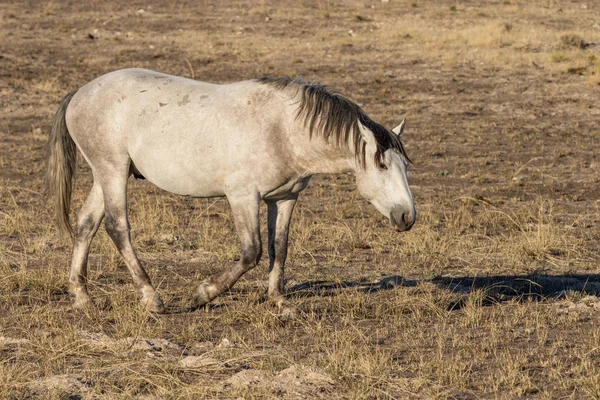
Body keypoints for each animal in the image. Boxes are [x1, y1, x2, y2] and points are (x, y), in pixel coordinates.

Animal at [45, 68, 418, 312]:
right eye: (382, 166)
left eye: (405, 165)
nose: (407, 217)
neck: (283, 129)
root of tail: (80, 93)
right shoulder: (243, 197)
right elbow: (252, 251)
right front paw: (202, 294)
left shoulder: (285, 198)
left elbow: (279, 247)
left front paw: (278, 301)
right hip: (113, 172)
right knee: (117, 227)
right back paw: (152, 298)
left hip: (103, 175)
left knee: (86, 224)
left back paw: (81, 296)